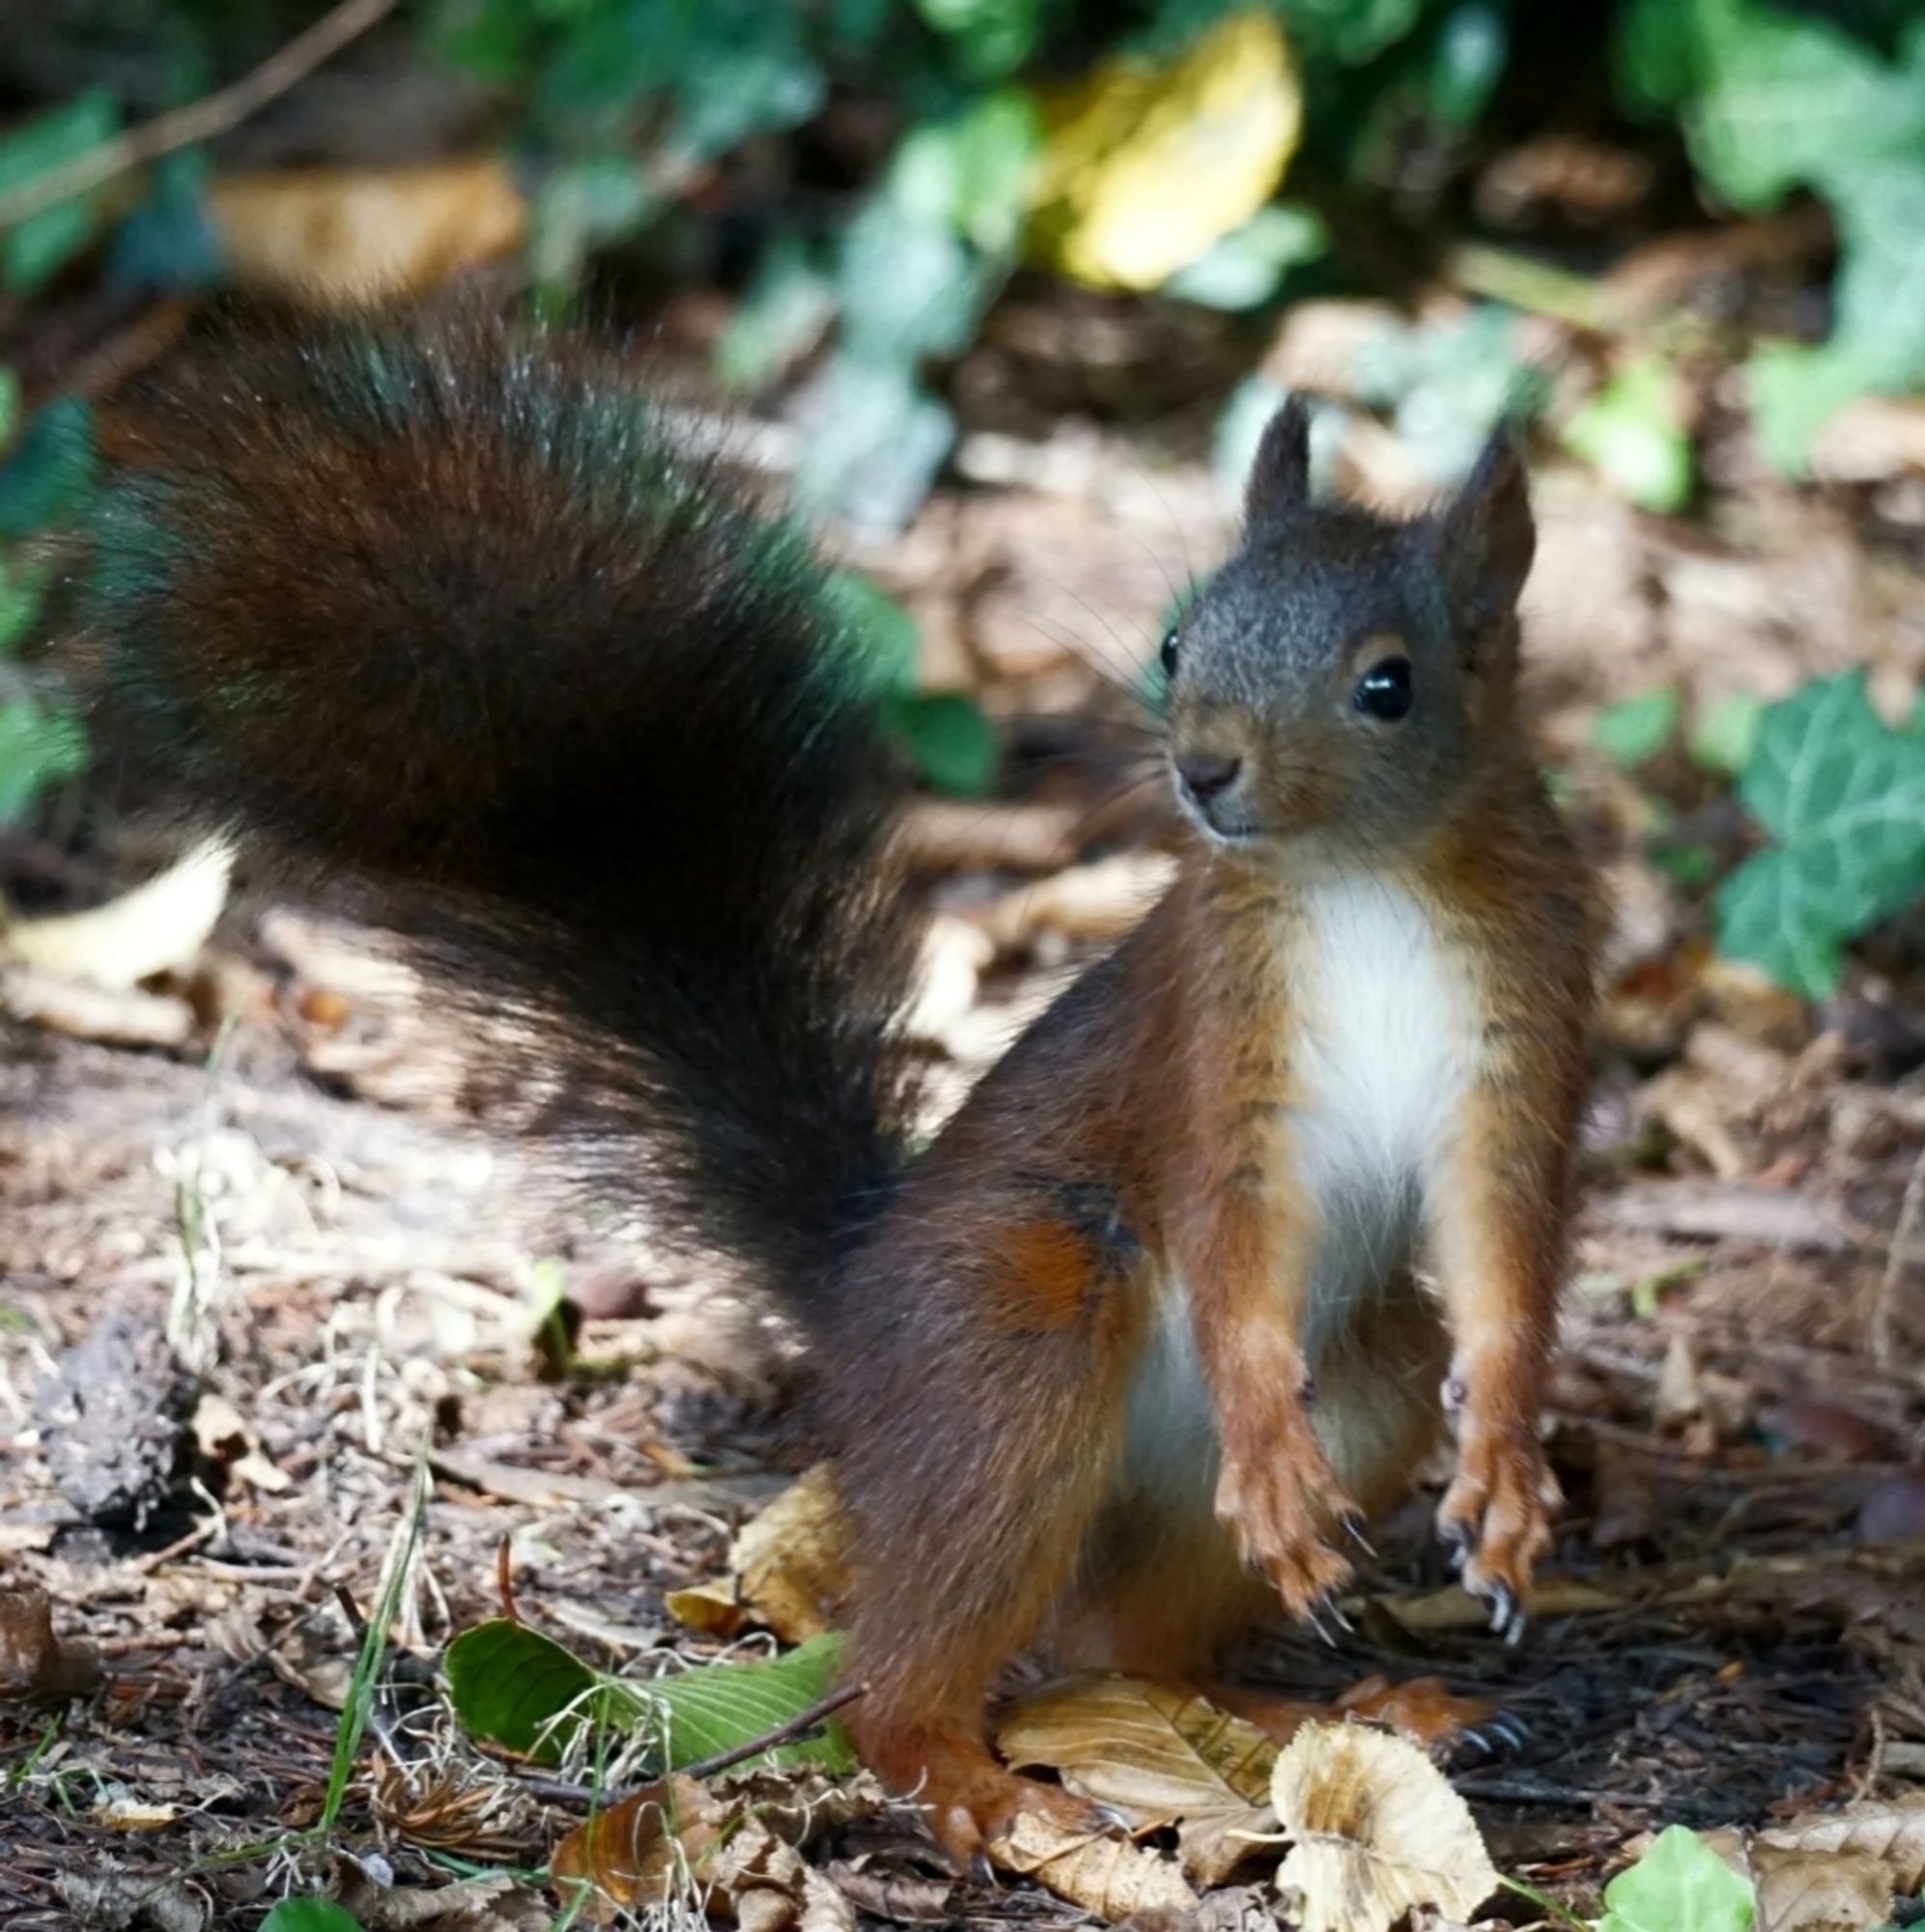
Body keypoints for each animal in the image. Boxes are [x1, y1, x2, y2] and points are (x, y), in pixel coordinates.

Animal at [86, 317, 1592, 1855]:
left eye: (1388, 683)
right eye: (1180, 640)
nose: (1205, 769)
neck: (1358, 881)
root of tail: (859, 1293)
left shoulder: (1520, 1038)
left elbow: (1506, 1250)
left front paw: (1506, 1470)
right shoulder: (1211, 1058)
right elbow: (1230, 1245)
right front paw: (1290, 1470)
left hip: (1360, 1381)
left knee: (1127, 1645)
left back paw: (1350, 1713)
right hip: (1011, 1338)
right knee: (927, 1659)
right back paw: (972, 1776)